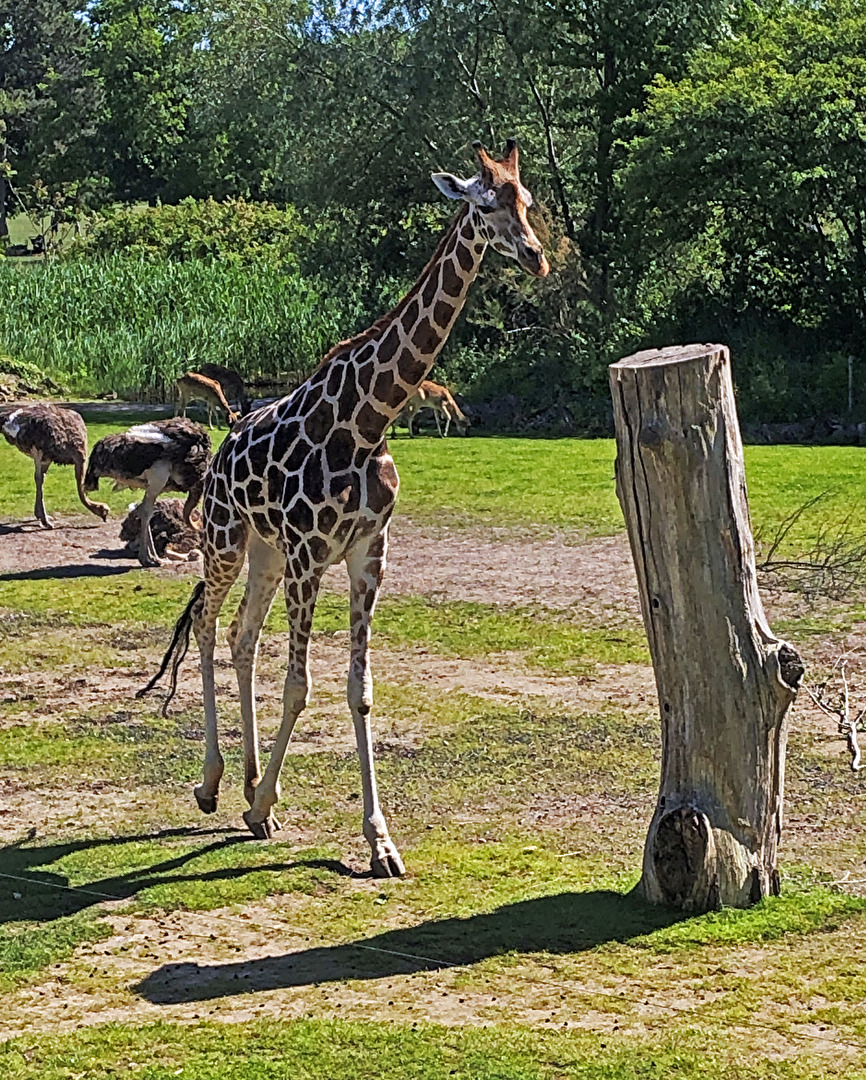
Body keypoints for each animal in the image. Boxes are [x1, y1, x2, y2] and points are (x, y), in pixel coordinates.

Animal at [140, 137, 546, 876]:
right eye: (483, 204)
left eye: (526, 200)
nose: (536, 256)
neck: (368, 419)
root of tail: (224, 442)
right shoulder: (310, 556)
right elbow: (300, 683)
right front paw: (262, 805)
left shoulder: (366, 554)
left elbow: (359, 688)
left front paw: (378, 840)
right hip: (228, 539)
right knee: (210, 627)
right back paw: (214, 784)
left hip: (265, 553)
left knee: (241, 636)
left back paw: (247, 779)